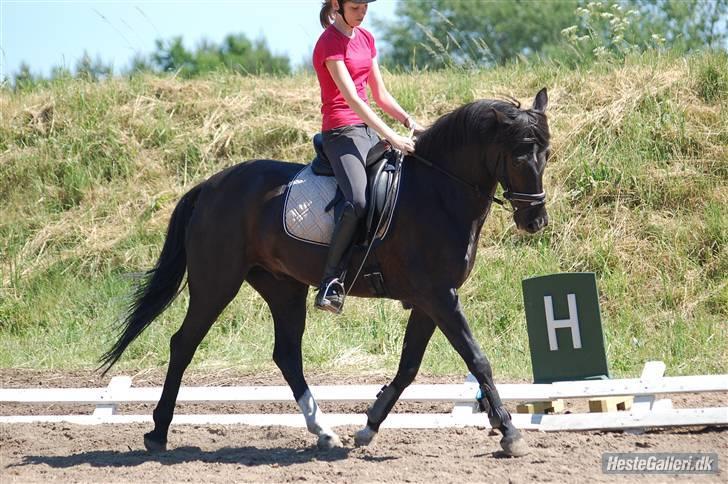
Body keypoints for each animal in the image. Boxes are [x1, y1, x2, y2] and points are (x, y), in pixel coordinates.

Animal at [98, 88, 552, 458]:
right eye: (518, 156)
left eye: (546, 155)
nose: (535, 221)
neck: (438, 192)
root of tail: (209, 186)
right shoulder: (438, 296)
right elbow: (478, 359)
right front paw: (509, 432)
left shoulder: (432, 299)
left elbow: (409, 367)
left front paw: (369, 425)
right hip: (216, 283)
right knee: (184, 344)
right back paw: (158, 433)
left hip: (283, 287)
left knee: (286, 354)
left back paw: (323, 431)